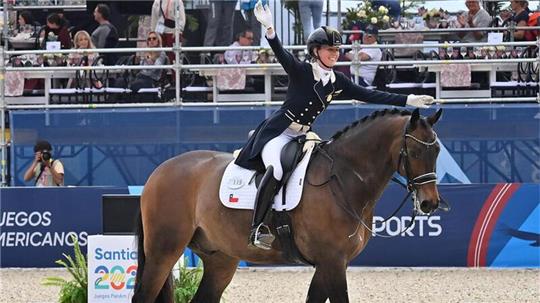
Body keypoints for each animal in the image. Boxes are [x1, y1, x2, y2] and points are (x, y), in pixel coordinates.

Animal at [132, 108, 442, 302]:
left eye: (437, 150)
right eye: (415, 151)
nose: (430, 203)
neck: (342, 178)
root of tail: (160, 170)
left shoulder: (329, 263)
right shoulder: (332, 261)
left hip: (220, 258)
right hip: (163, 250)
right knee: (143, 295)